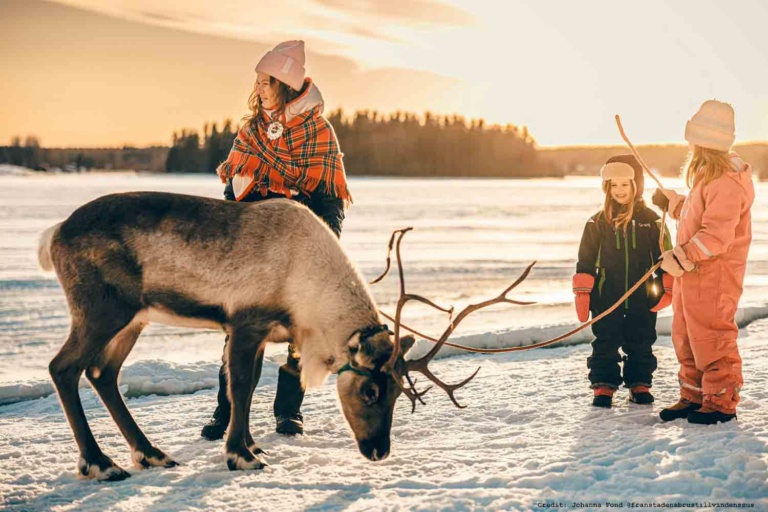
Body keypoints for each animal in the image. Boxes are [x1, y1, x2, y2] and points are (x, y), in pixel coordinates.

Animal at [37, 191, 533, 481]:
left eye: (397, 393)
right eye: (371, 390)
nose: (379, 452)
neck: (307, 294)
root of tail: (54, 233)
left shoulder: (266, 333)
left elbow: (254, 383)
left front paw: (250, 444)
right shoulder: (245, 321)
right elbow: (239, 386)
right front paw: (241, 455)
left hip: (134, 318)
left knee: (103, 373)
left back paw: (150, 454)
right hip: (101, 309)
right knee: (64, 367)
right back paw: (100, 464)